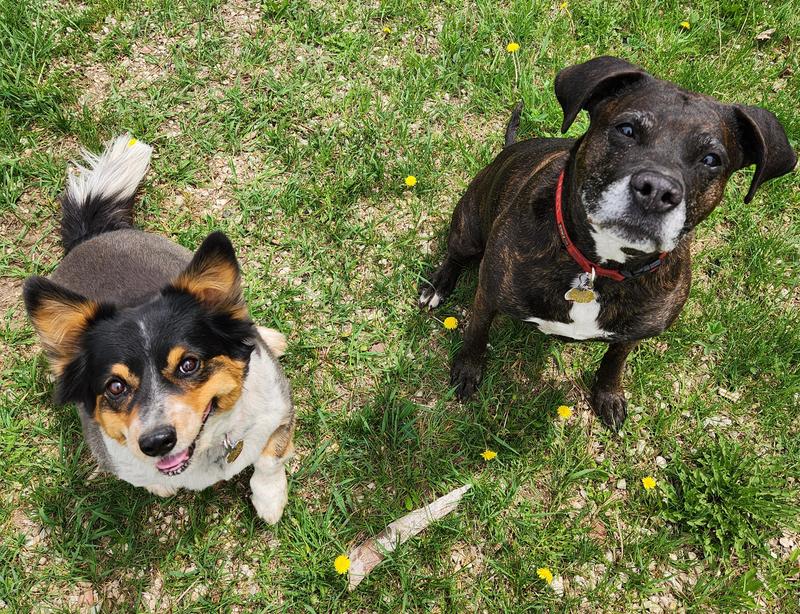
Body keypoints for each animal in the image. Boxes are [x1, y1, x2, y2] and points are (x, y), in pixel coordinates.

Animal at [23, 135, 295, 523]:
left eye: (189, 364)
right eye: (115, 386)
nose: (156, 443)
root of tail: (90, 236)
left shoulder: (280, 408)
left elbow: (271, 458)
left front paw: (270, 500)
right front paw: (158, 485)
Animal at [419, 56, 796, 430]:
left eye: (711, 159)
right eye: (626, 129)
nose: (657, 190)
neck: (599, 267)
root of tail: (511, 147)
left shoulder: (633, 333)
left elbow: (615, 361)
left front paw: (608, 395)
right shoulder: (489, 292)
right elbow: (476, 331)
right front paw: (467, 370)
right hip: (469, 227)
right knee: (455, 255)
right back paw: (437, 287)